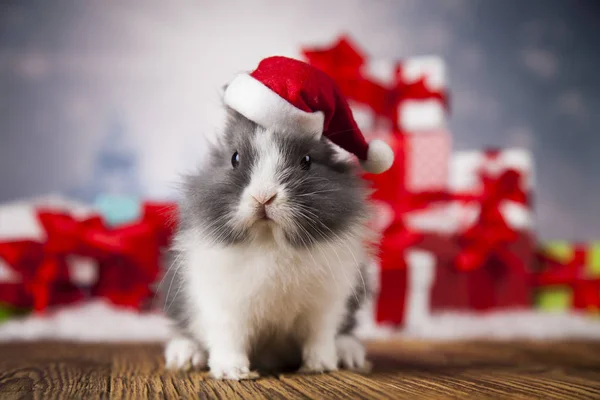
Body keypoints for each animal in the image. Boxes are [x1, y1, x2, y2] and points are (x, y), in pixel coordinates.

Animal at [163, 107, 380, 382]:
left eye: (307, 160)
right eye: (234, 158)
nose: (264, 197)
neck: (270, 242)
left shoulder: (325, 306)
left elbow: (319, 336)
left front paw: (320, 365)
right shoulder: (222, 306)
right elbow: (229, 338)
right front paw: (232, 372)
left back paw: (348, 354)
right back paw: (185, 356)